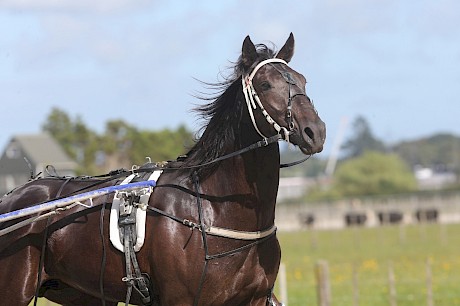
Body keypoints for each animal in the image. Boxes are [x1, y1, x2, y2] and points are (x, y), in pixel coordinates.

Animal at [0, 33, 326, 306]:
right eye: (265, 84)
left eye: (303, 81)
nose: (315, 132)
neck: (212, 208)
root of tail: (12, 198)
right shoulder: (180, 299)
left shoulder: (254, 299)